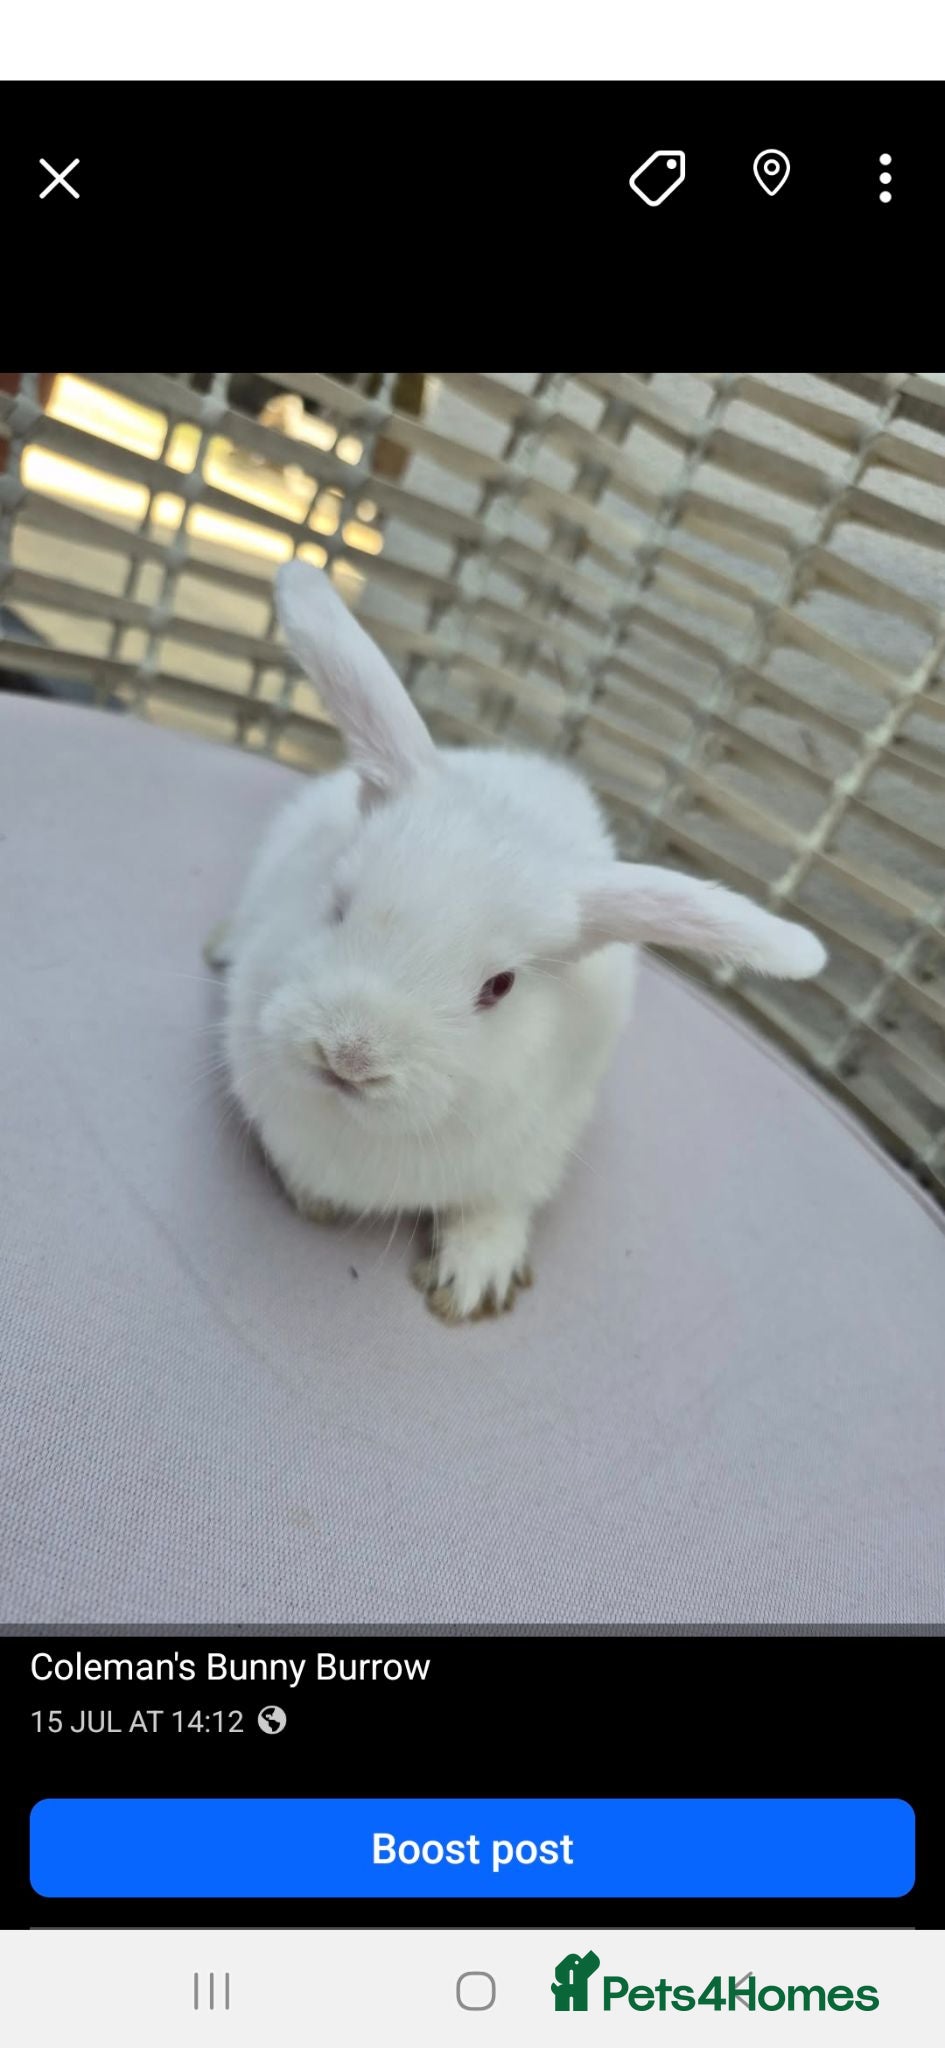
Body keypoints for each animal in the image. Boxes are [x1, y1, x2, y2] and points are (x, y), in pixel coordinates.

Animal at [212, 560, 827, 1324]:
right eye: (336, 904)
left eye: (499, 986)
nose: (350, 1056)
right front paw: (313, 1198)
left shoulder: (533, 1154)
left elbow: (495, 1209)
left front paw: (474, 1282)